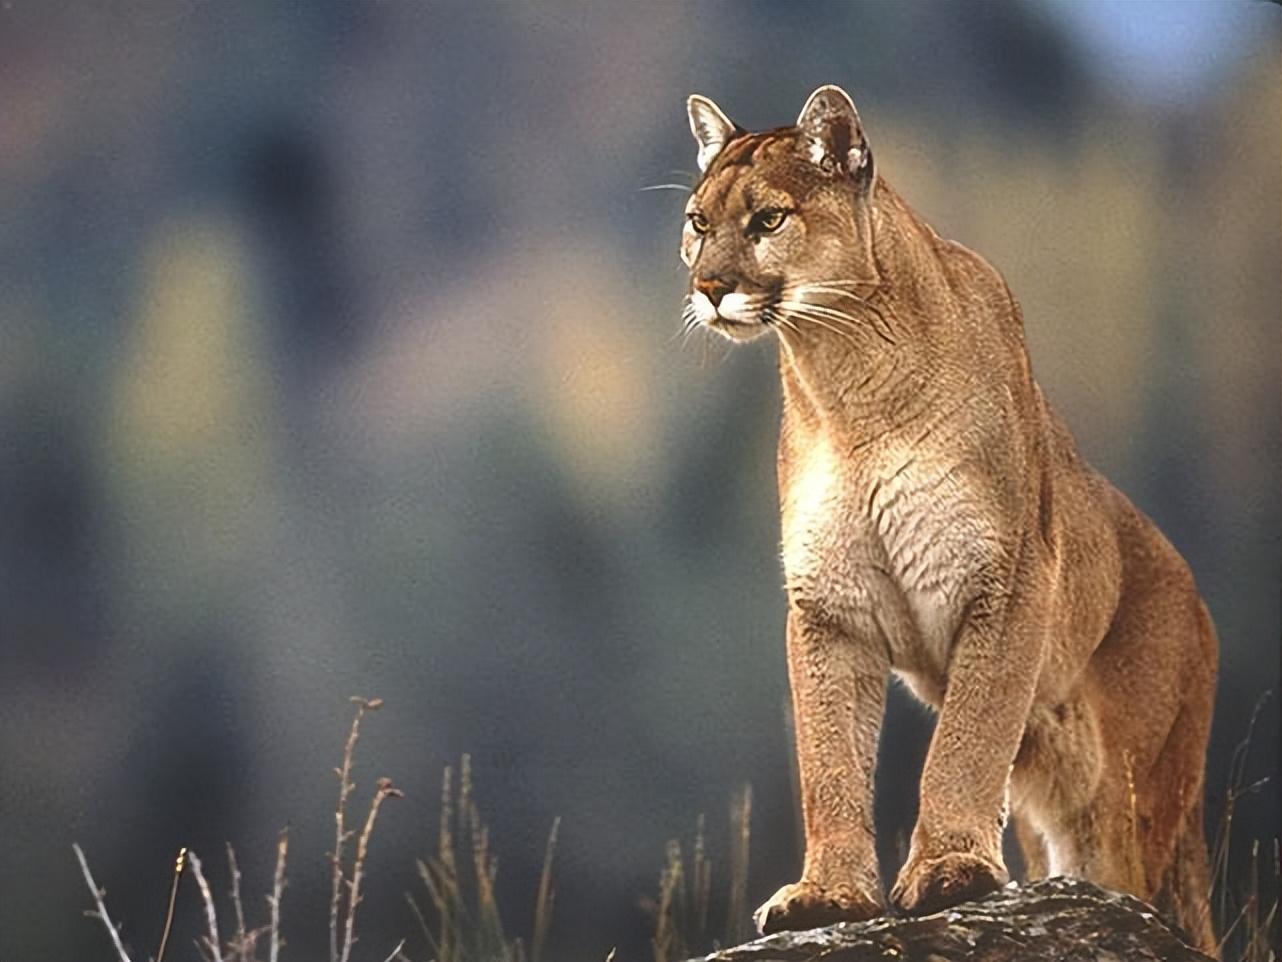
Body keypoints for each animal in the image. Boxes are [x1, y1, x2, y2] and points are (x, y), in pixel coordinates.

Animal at [676, 84, 1215, 959]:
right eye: (697, 220)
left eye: (768, 219)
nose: (709, 285)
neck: (846, 383)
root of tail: (1196, 597)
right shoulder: (829, 606)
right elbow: (828, 760)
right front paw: (826, 896)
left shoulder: (1007, 580)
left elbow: (964, 743)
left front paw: (950, 875)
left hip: (1129, 796)